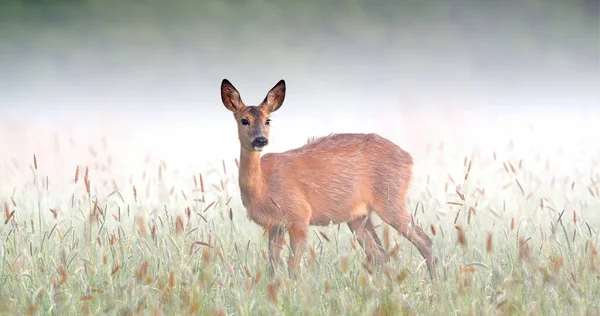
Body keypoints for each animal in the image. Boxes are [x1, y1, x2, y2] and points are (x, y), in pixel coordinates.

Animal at [220, 78, 436, 278]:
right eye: (244, 120)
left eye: (268, 120)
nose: (260, 140)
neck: (263, 186)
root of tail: (409, 158)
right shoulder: (275, 226)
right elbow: (273, 266)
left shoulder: (299, 215)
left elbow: (292, 266)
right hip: (359, 216)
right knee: (378, 254)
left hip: (391, 199)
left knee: (424, 241)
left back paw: (434, 281)